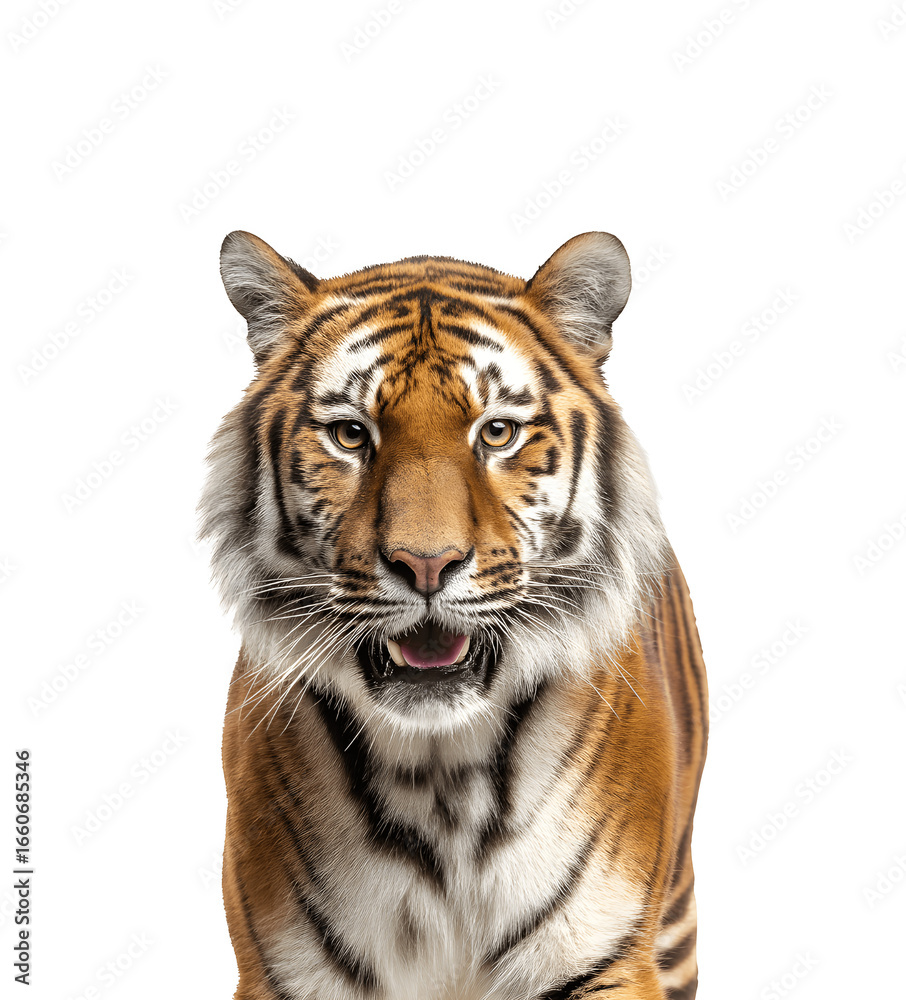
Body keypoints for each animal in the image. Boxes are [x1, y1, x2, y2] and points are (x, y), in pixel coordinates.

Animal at [200, 229, 708, 1000]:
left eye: (496, 433)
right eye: (350, 435)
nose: (426, 564)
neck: (439, 780)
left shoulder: (605, 956)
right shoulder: (284, 969)